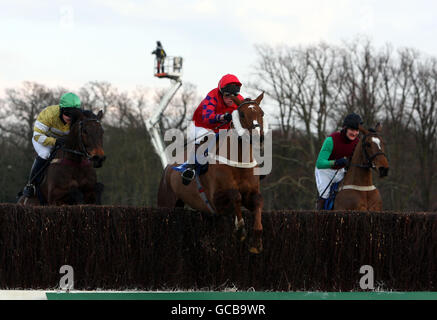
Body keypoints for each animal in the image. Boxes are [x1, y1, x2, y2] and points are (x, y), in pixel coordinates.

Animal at [157, 93, 266, 255]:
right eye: (242, 114)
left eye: (262, 113)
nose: (258, 137)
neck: (239, 163)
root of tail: (167, 168)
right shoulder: (216, 202)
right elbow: (235, 195)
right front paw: (240, 229)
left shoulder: (251, 194)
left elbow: (258, 201)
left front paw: (256, 242)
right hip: (165, 202)